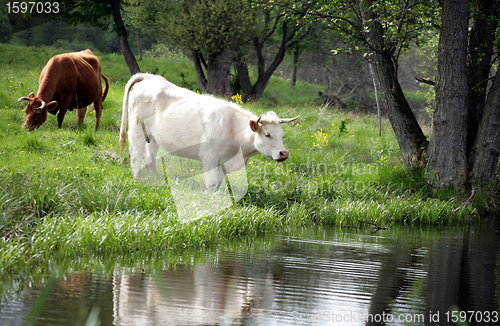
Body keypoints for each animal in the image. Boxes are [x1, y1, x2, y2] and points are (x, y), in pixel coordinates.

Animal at [120, 74, 300, 190]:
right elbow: (212, 183)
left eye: (282, 135)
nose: (284, 153)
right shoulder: (209, 157)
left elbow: (219, 182)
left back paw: (157, 182)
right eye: (267, 134)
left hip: (153, 137)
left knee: (149, 158)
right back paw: (139, 181)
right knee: (135, 156)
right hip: (136, 128)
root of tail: (149, 77)